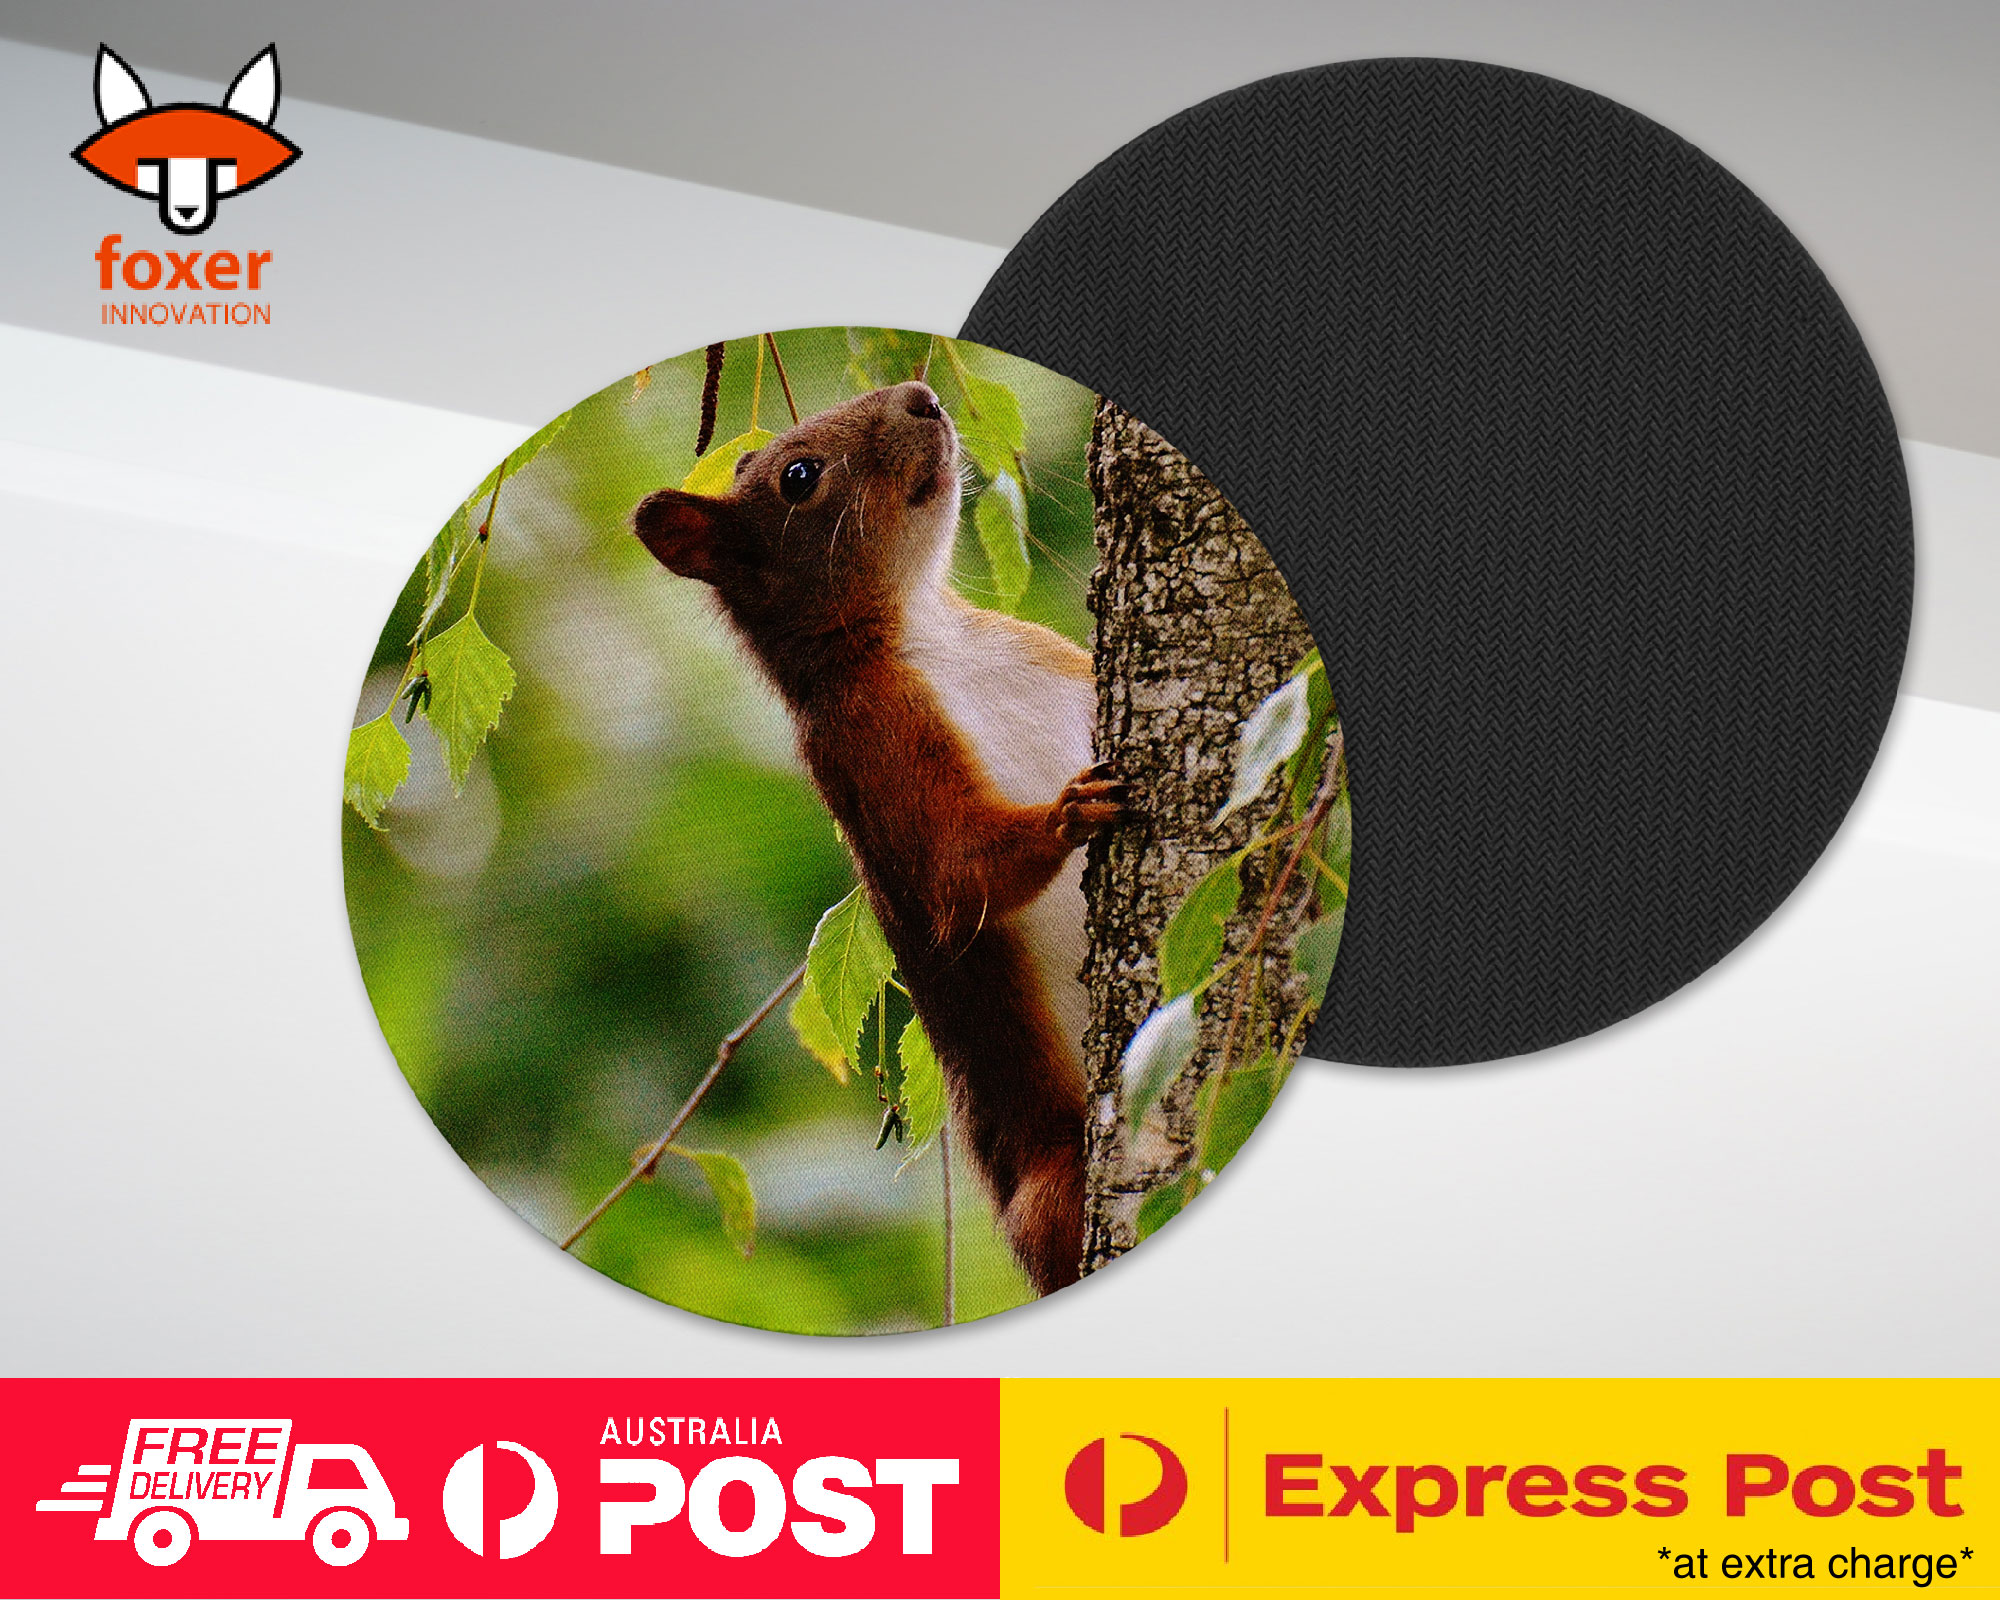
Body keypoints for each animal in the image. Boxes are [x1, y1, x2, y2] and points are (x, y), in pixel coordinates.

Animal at [632, 379, 1125, 1295]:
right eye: (798, 476)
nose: (922, 395)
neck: (930, 630)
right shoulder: (869, 748)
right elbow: (959, 872)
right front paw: (1069, 812)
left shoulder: (1058, 658)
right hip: (1058, 1186)